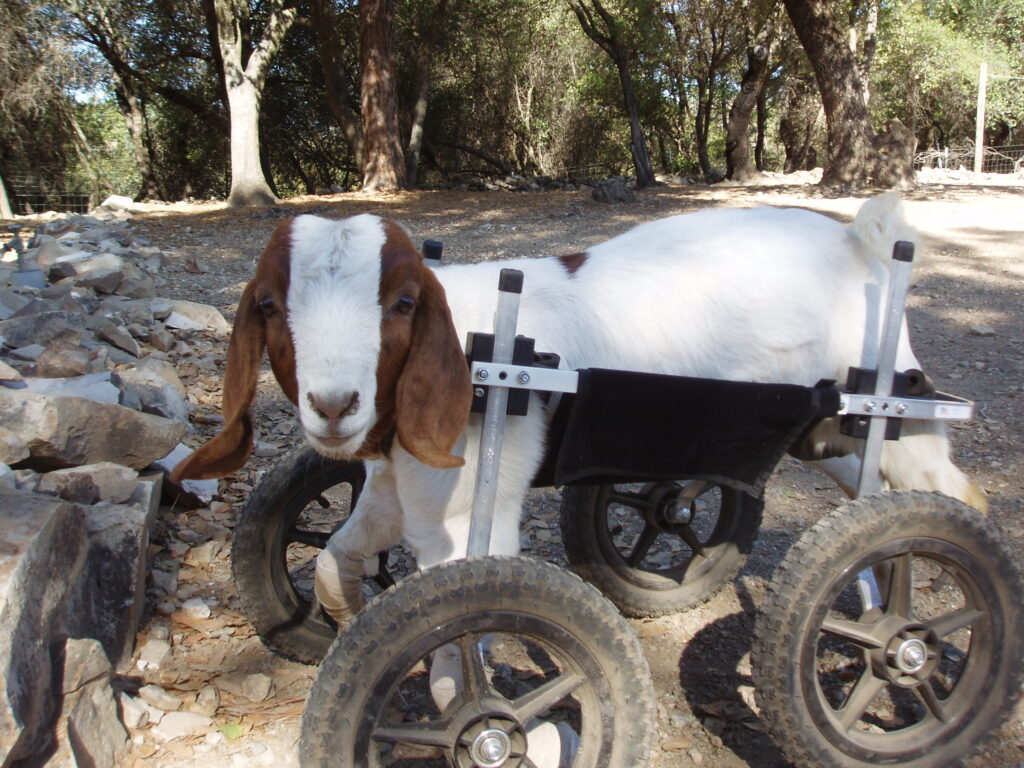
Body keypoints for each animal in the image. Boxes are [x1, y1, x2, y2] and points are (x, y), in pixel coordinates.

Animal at [172, 193, 985, 626]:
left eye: (402, 303)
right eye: (269, 306)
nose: (334, 404)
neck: (478, 345)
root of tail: (857, 241)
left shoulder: (466, 517)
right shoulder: (397, 487)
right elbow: (334, 559)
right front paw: (342, 613)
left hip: (891, 408)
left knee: (951, 494)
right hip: (825, 431)